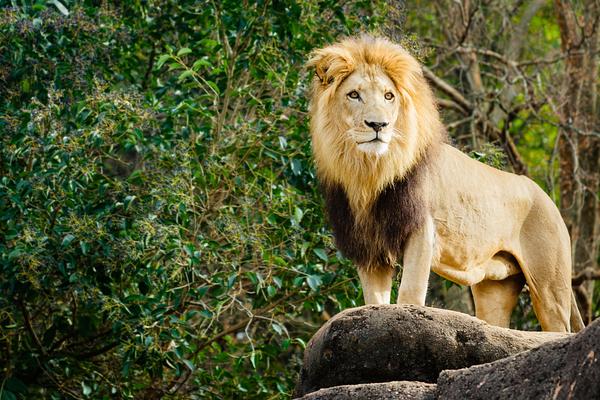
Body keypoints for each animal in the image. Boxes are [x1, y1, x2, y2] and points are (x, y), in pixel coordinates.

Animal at [308, 36, 584, 332]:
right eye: (354, 95)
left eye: (388, 96)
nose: (378, 124)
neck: (369, 172)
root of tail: (546, 198)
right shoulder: (368, 246)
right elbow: (374, 301)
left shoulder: (421, 230)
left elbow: (410, 293)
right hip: (496, 287)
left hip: (550, 288)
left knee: (558, 328)